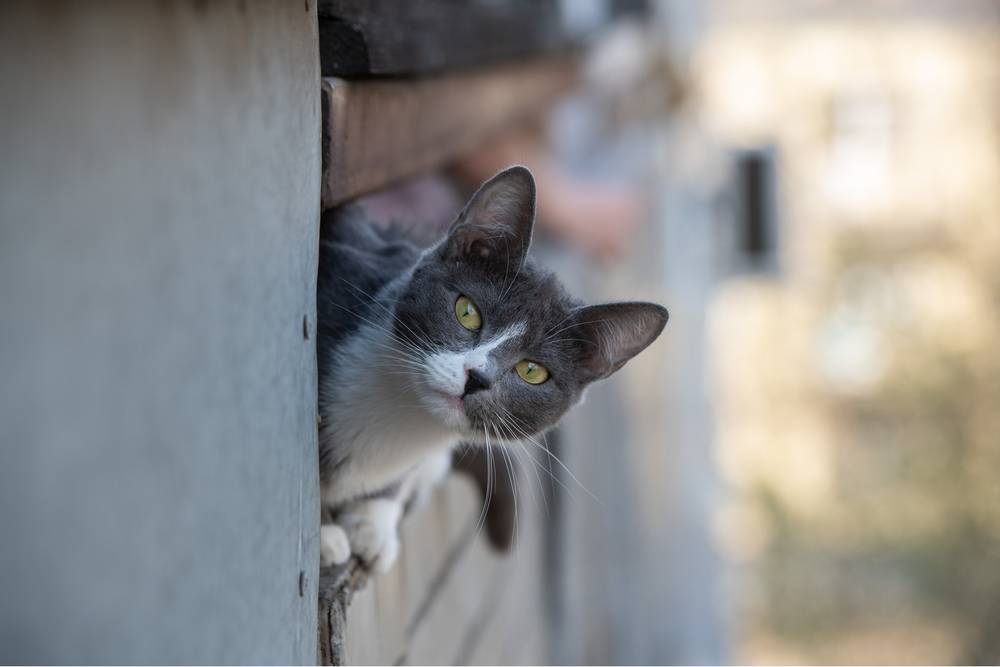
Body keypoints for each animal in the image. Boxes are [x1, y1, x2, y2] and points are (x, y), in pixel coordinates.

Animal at [316, 164, 668, 572]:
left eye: (533, 371)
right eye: (467, 312)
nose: (477, 378)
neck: (402, 420)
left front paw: (371, 522)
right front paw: (322, 534)